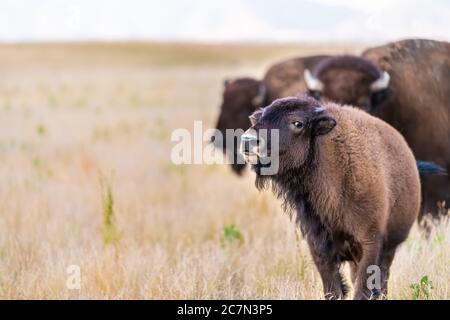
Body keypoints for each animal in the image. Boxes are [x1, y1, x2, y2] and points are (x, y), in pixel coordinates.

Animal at [243, 96, 422, 298]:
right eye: (261, 117)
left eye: (297, 123)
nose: (248, 141)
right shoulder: (320, 247)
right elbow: (333, 289)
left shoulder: (371, 243)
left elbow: (362, 288)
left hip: (389, 247)